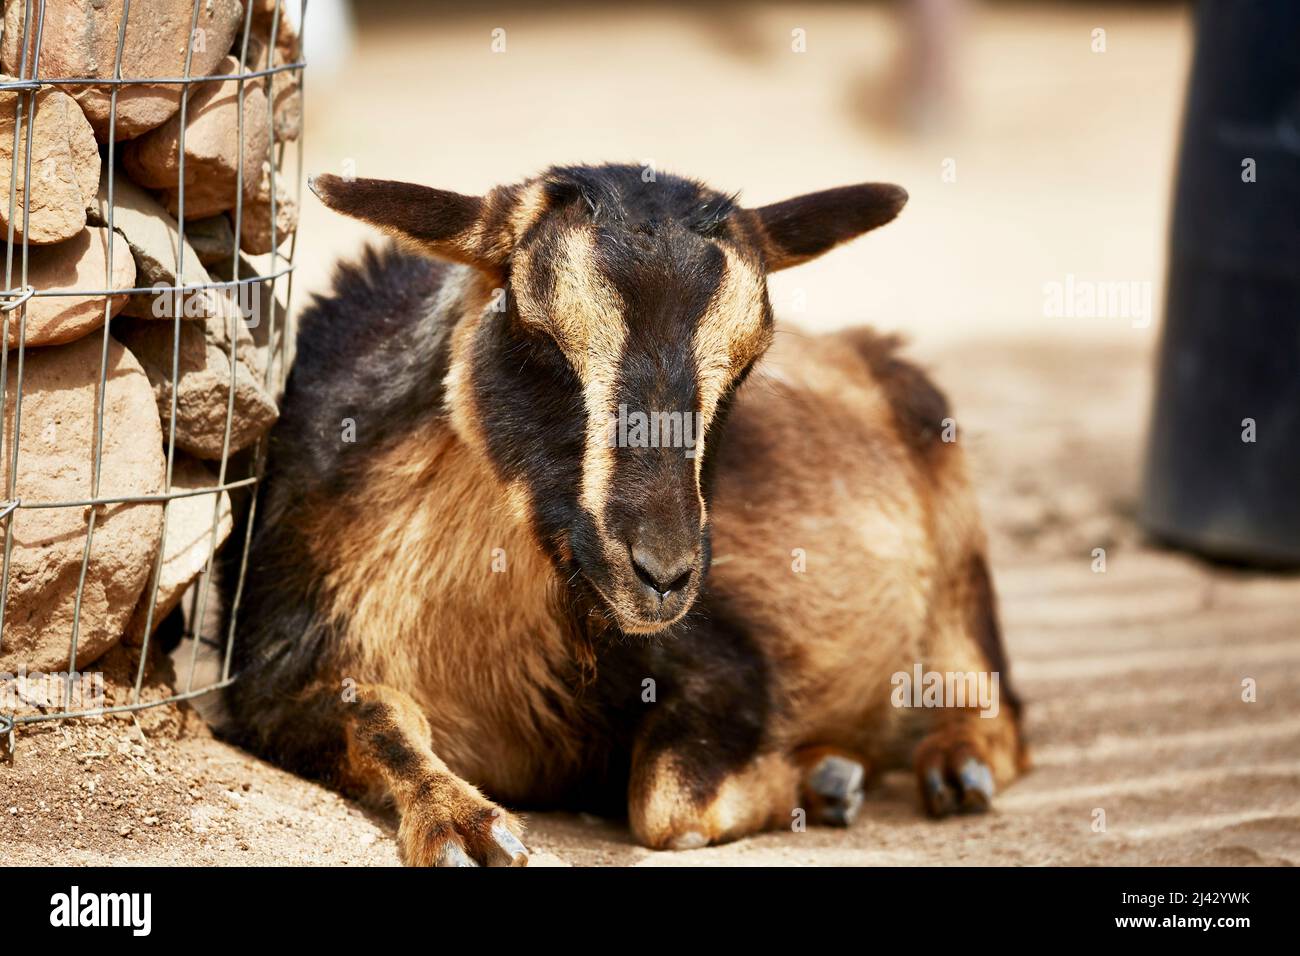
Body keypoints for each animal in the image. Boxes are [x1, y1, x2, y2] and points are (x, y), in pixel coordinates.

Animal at [223, 163, 1027, 866]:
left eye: (746, 363)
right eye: (539, 332)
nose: (662, 575)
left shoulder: (724, 662)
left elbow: (669, 804)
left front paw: (816, 781)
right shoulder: (273, 684)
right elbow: (378, 718)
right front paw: (459, 823)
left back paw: (957, 767)